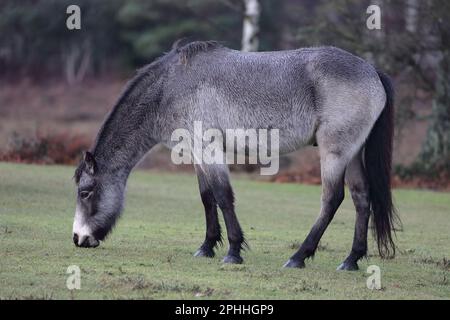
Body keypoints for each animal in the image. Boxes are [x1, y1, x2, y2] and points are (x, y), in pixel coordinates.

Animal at [72, 40, 400, 270]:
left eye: (86, 192)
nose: (78, 238)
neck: (171, 87)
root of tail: (372, 71)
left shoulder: (209, 148)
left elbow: (223, 196)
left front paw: (232, 252)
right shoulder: (196, 153)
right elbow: (207, 197)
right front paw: (206, 247)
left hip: (335, 153)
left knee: (332, 199)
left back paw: (299, 257)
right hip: (353, 154)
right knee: (361, 198)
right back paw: (351, 260)